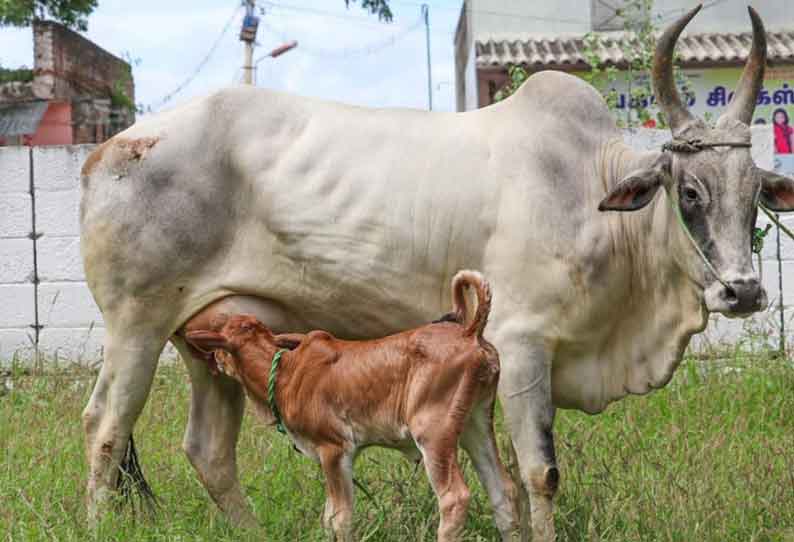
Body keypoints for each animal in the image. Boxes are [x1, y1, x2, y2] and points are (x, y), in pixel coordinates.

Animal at [186, 272, 520, 542]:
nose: (215, 362)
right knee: (504, 489)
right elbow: (330, 517)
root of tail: (469, 333)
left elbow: (340, 519)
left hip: (433, 432)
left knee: (454, 498)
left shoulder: (334, 450)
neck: (285, 373)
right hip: (476, 423)